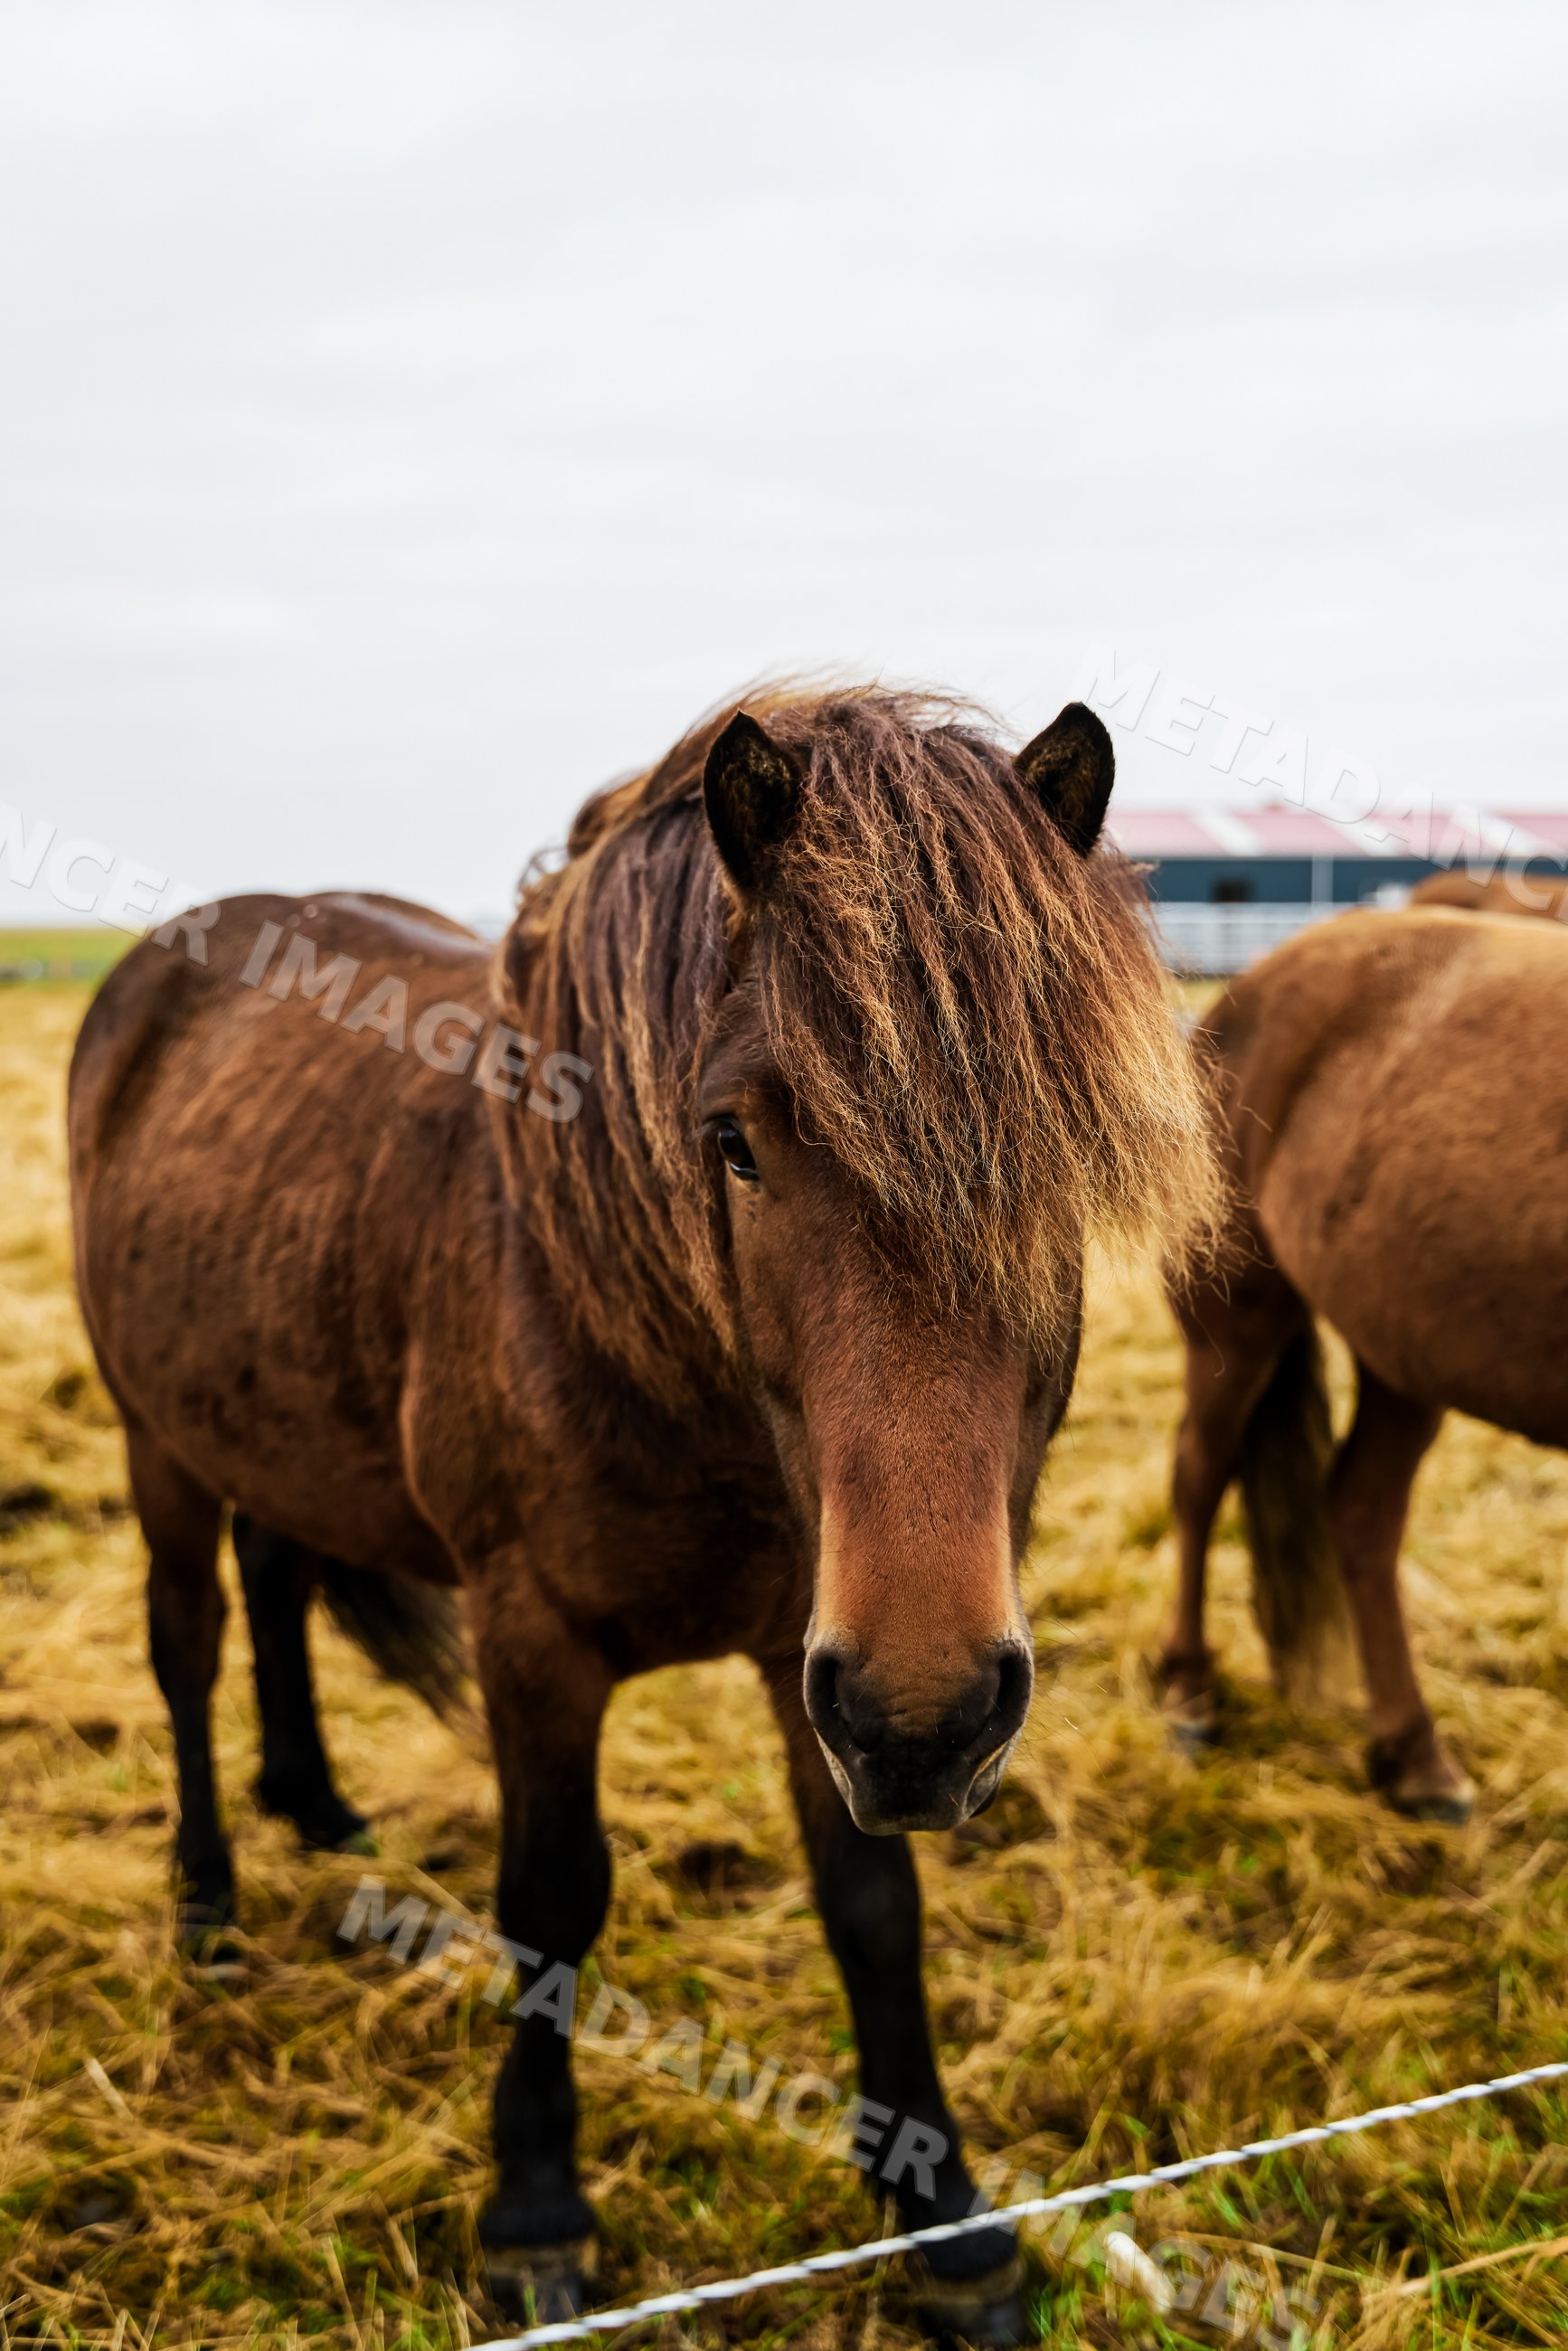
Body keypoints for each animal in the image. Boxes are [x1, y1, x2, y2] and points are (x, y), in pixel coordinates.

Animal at [69, 684, 1214, 2340]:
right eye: (732, 1141)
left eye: (1064, 1144)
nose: (930, 1716)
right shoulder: (536, 1642)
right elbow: (551, 1900)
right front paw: (537, 2213)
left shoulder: (817, 1655)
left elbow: (871, 1907)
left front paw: (939, 2213)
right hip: (157, 1439)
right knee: (188, 1642)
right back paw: (209, 1904)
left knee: (278, 1582)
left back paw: (318, 1805)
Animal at [1159, 901, 1568, 1824]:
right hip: (1238, 1326)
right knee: (1200, 1478)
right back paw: (1187, 1690)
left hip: (1403, 1354)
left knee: (1361, 1513)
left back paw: (1411, 1755)